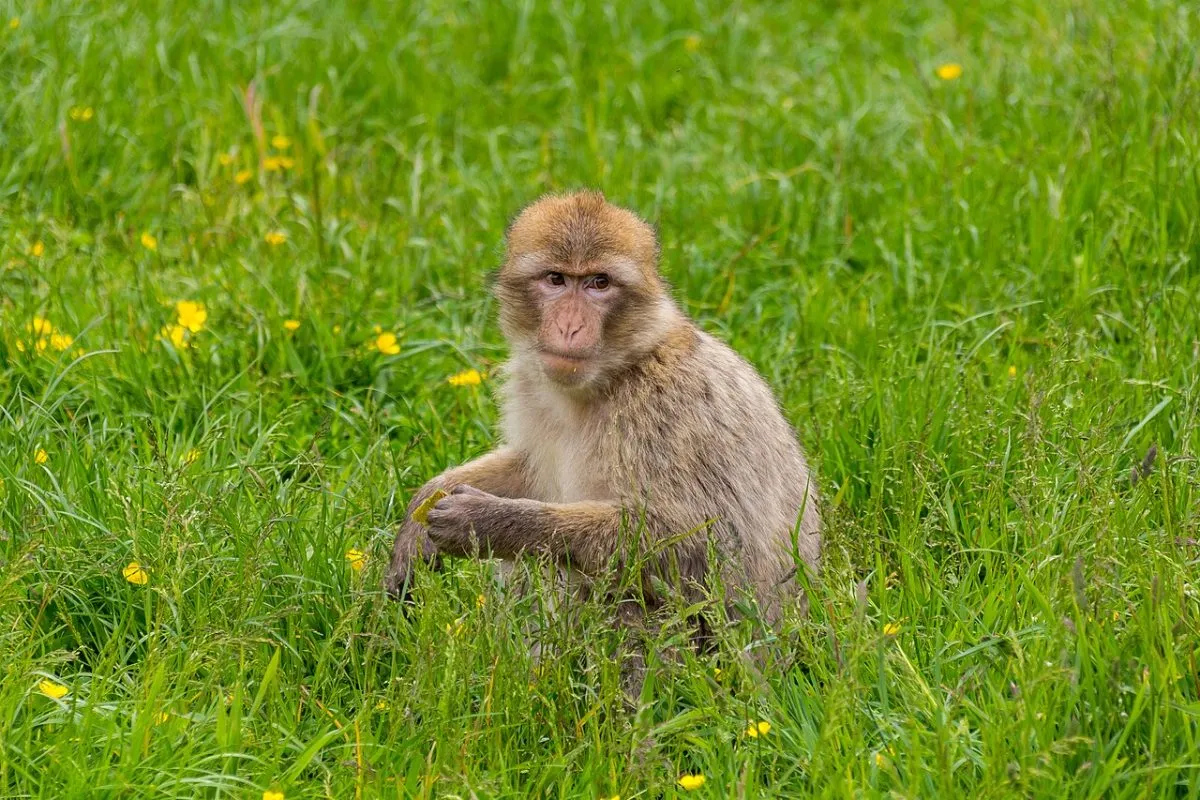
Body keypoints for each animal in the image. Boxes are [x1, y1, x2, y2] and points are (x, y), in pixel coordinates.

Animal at [384, 191, 821, 663]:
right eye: (556, 279)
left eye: (599, 283)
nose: (570, 326)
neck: (610, 378)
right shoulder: (532, 389)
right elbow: (527, 470)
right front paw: (425, 507)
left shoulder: (667, 411)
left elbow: (705, 546)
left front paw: (487, 522)